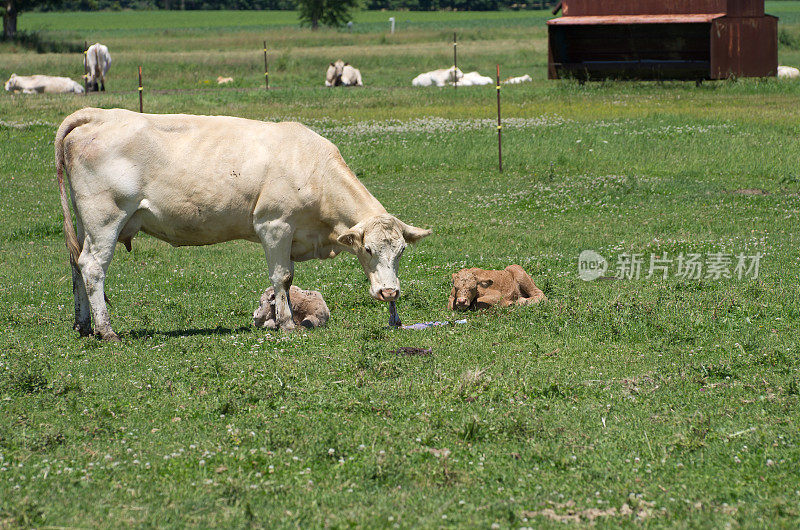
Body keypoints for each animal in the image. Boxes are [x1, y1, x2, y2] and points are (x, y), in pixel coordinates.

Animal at [54, 107, 432, 338]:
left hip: (87, 224)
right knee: (93, 267)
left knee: (76, 263)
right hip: (106, 219)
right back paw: (106, 330)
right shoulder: (274, 226)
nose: (389, 291)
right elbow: (283, 277)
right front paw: (287, 324)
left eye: (400, 252)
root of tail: (97, 116)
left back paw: (84, 324)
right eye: (367, 250)